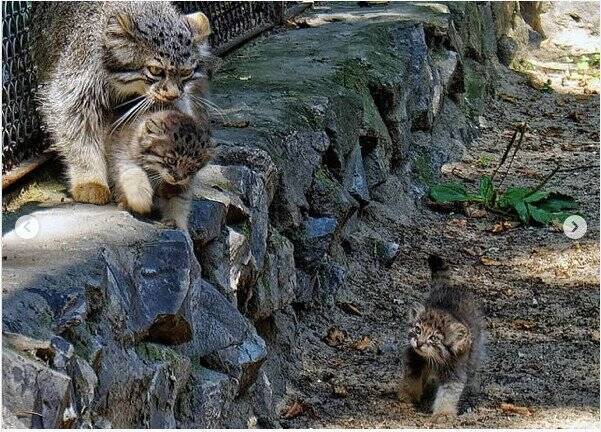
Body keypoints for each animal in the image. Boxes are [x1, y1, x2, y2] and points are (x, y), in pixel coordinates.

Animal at [30, 2, 214, 204]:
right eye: (155, 70)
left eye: (186, 72)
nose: (173, 95)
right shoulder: (76, 91)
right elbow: (80, 137)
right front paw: (90, 181)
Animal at [398, 255, 482, 420]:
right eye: (417, 330)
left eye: (434, 338)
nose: (419, 343)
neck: (434, 358)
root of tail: (450, 287)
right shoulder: (413, 357)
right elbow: (412, 377)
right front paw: (408, 396)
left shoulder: (455, 370)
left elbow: (449, 393)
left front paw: (444, 413)